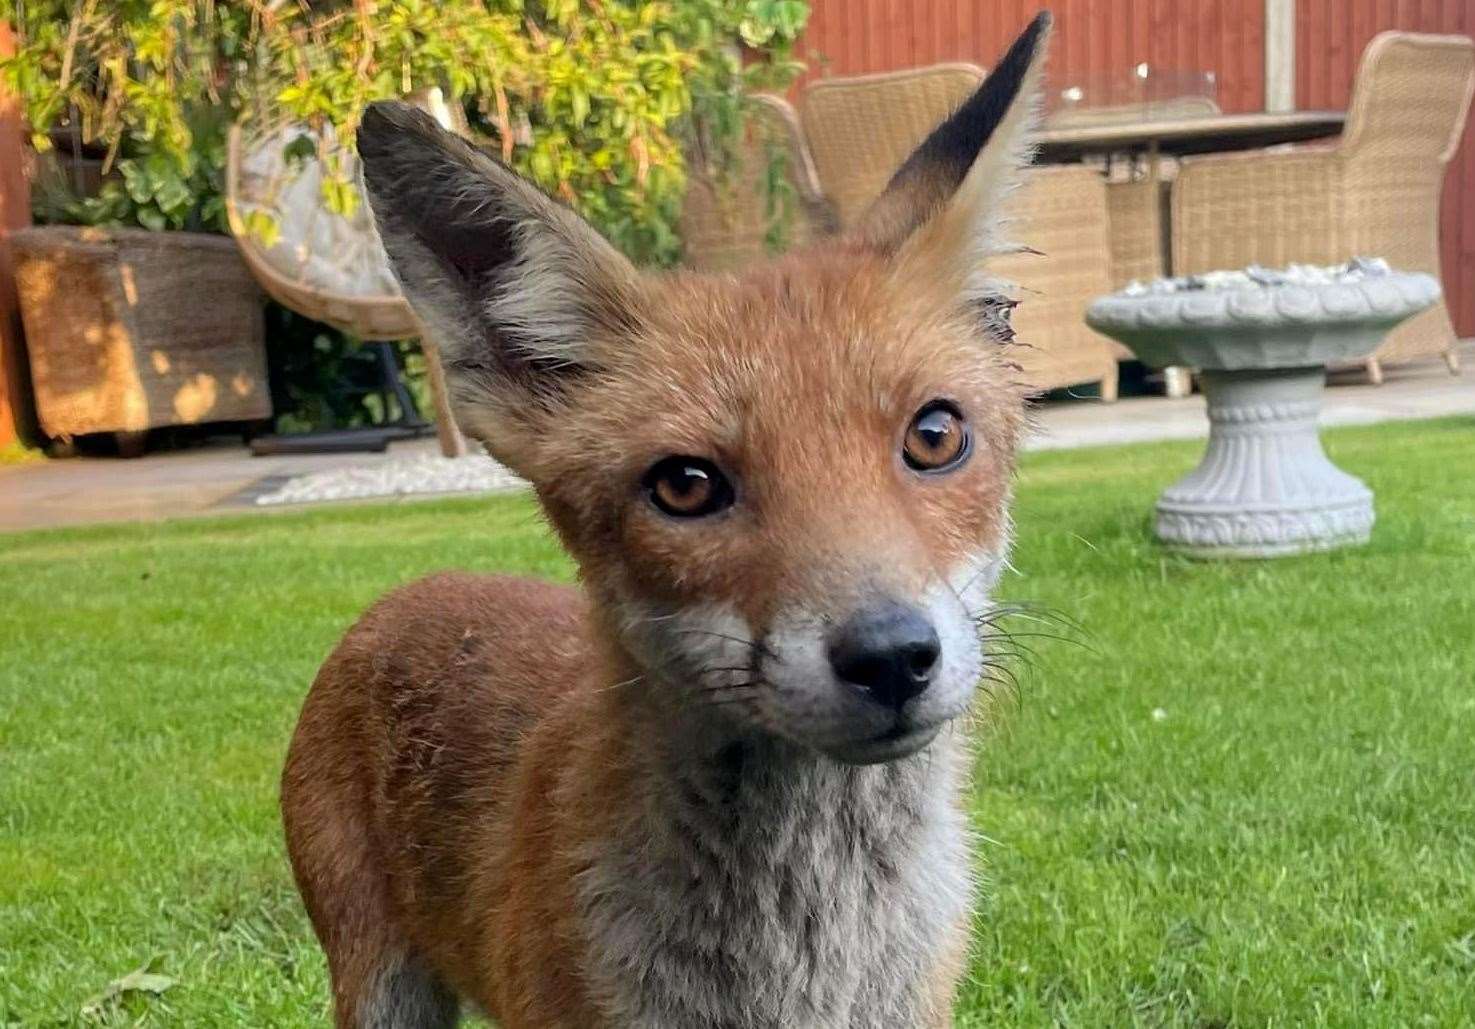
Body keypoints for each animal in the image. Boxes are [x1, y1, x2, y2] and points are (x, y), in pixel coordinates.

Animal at [278, 14, 1050, 1026]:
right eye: (685, 485)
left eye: (933, 436)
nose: (890, 657)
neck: (803, 970)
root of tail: (410, 592)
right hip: (380, 989)